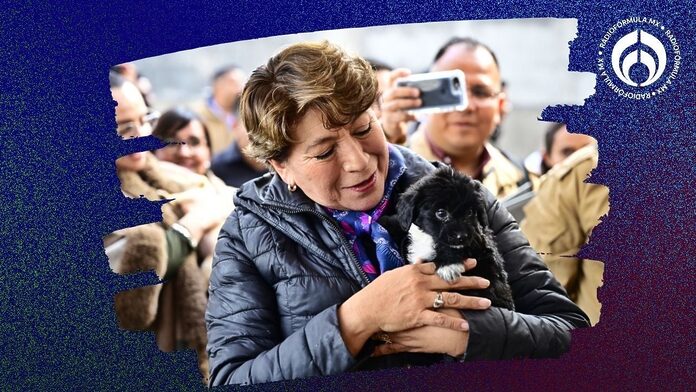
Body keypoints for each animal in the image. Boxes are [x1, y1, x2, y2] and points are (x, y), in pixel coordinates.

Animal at [380, 167, 516, 310]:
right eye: (441, 213)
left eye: (470, 212)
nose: (461, 236)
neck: (429, 238)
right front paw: (385, 221)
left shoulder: (480, 243)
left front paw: (448, 264)